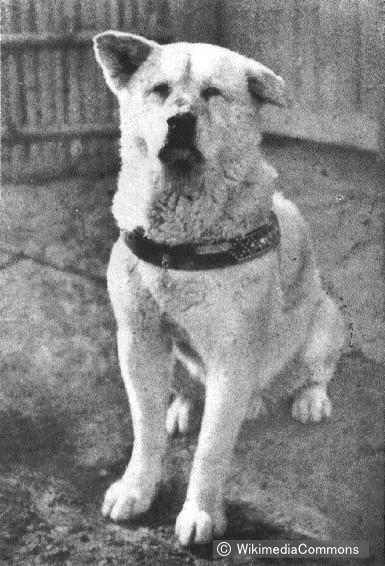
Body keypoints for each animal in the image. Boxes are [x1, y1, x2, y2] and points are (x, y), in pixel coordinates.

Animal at [92, 33, 342, 548]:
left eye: (213, 93)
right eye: (160, 90)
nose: (179, 121)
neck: (183, 239)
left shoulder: (233, 356)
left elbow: (211, 449)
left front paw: (200, 514)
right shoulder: (138, 341)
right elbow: (145, 429)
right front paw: (135, 489)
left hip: (324, 321)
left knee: (315, 371)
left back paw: (307, 399)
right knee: (189, 389)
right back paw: (185, 406)